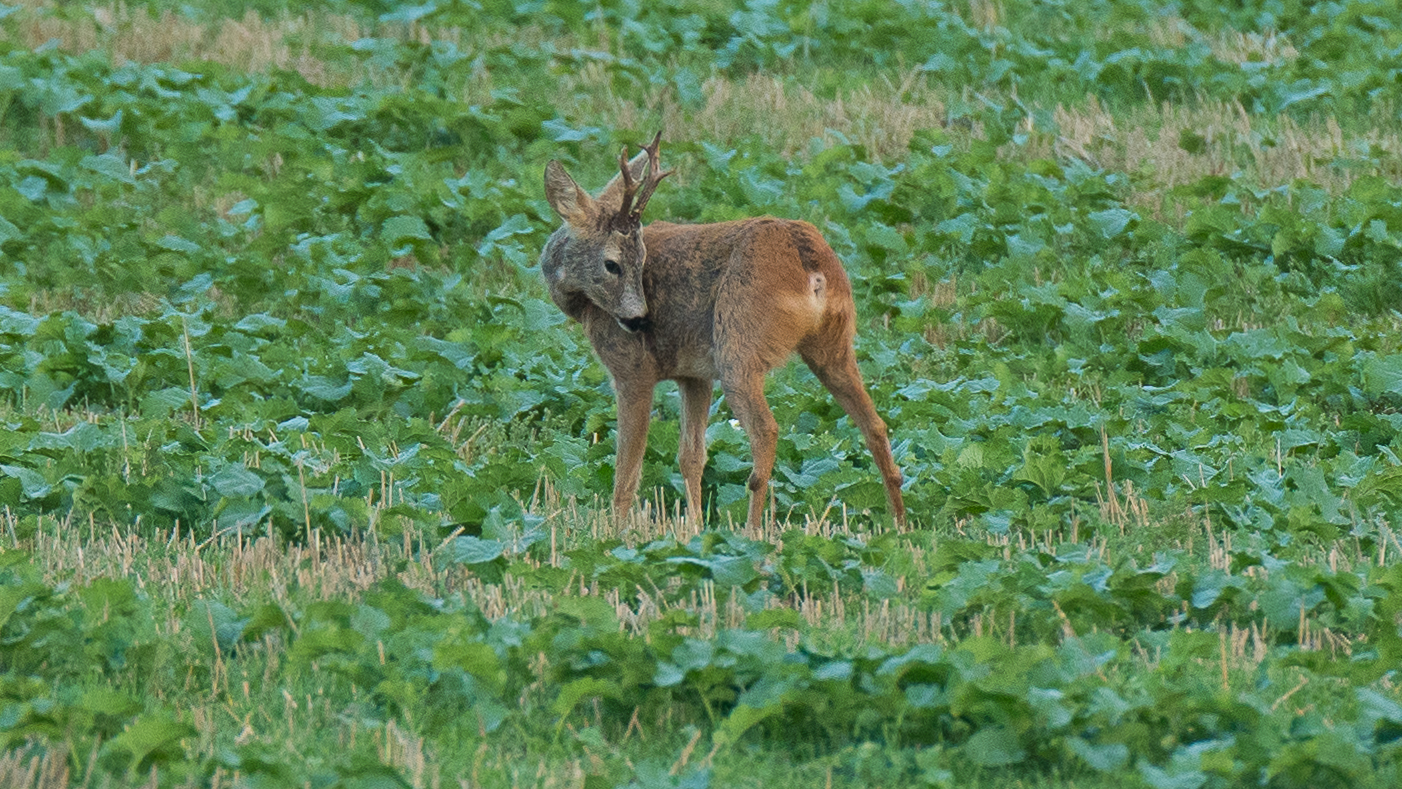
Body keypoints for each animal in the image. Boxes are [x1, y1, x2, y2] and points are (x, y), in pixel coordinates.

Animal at [535, 134, 908, 529]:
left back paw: (751, 530)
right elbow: (691, 456)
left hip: (738, 347)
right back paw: (898, 524)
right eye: (614, 264)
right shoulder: (694, 375)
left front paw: (617, 531)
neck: (585, 307)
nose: (639, 320)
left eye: (636, 261)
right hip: (832, 345)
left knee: (766, 429)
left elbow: (628, 469)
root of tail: (809, 262)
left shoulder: (632, 370)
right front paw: (695, 527)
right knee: (875, 424)